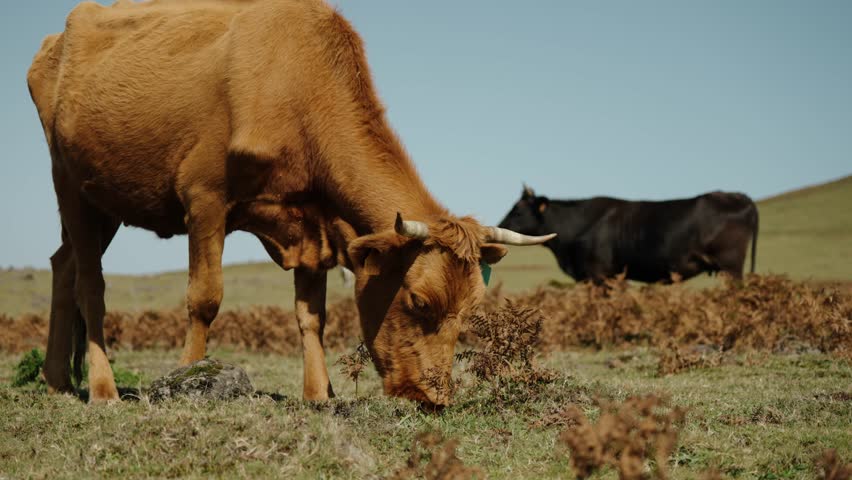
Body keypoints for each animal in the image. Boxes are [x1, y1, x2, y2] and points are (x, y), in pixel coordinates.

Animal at [27, 0, 555, 407]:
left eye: (470, 312)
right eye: (418, 301)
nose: (435, 399)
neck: (296, 82)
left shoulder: (312, 222)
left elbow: (311, 314)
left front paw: (320, 394)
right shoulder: (205, 198)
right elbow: (205, 298)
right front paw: (187, 378)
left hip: (103, 202)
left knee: (63, 266)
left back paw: (56, 381)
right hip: (68, 182)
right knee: (91, 283)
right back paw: (102, 389)